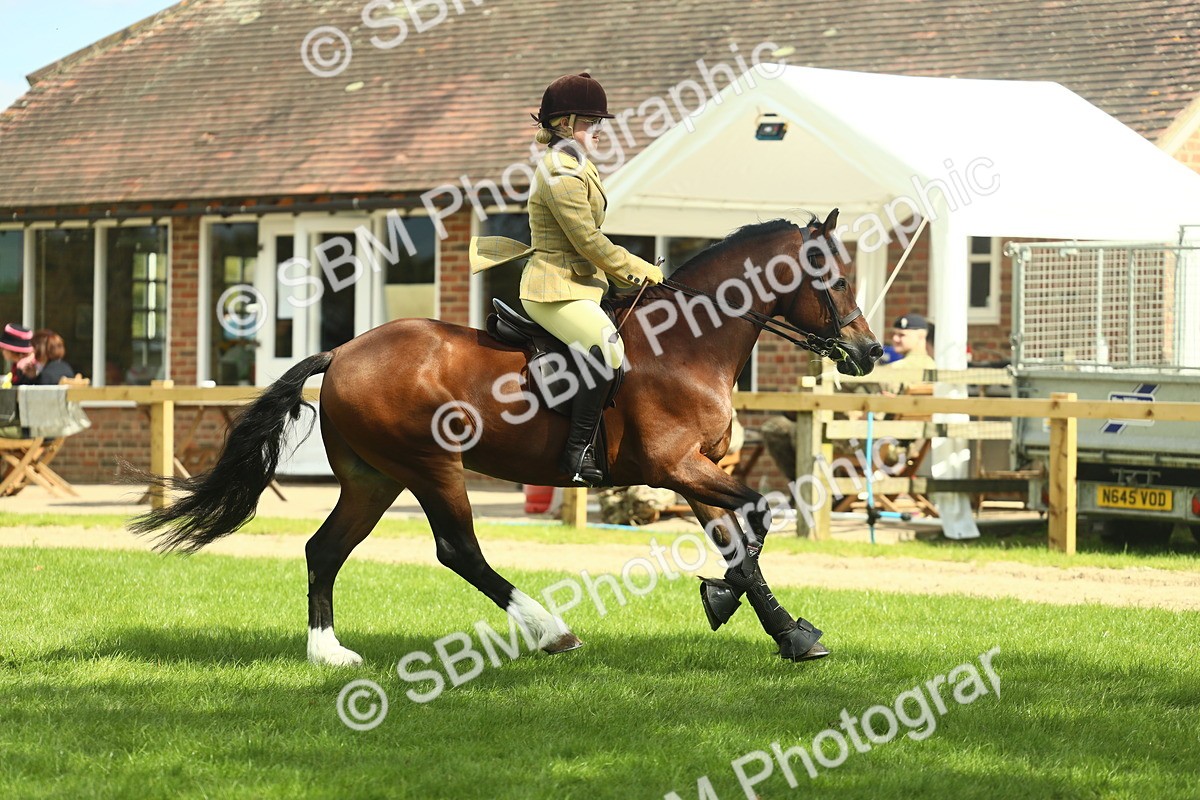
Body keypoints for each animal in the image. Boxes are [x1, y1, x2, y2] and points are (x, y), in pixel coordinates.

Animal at [130, 208, 881, 666]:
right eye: (838, 278)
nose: (869, 354)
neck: (688, 344)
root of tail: (341, 353)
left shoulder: (699, 470)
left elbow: (743, 541)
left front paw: (787, 633)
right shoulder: (674, 467)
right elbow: (755, 517)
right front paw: (726, 601)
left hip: (375, 479)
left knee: (325, 549)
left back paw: (328, 653)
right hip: (431, 466)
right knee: (457, 549)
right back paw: (551, 630)